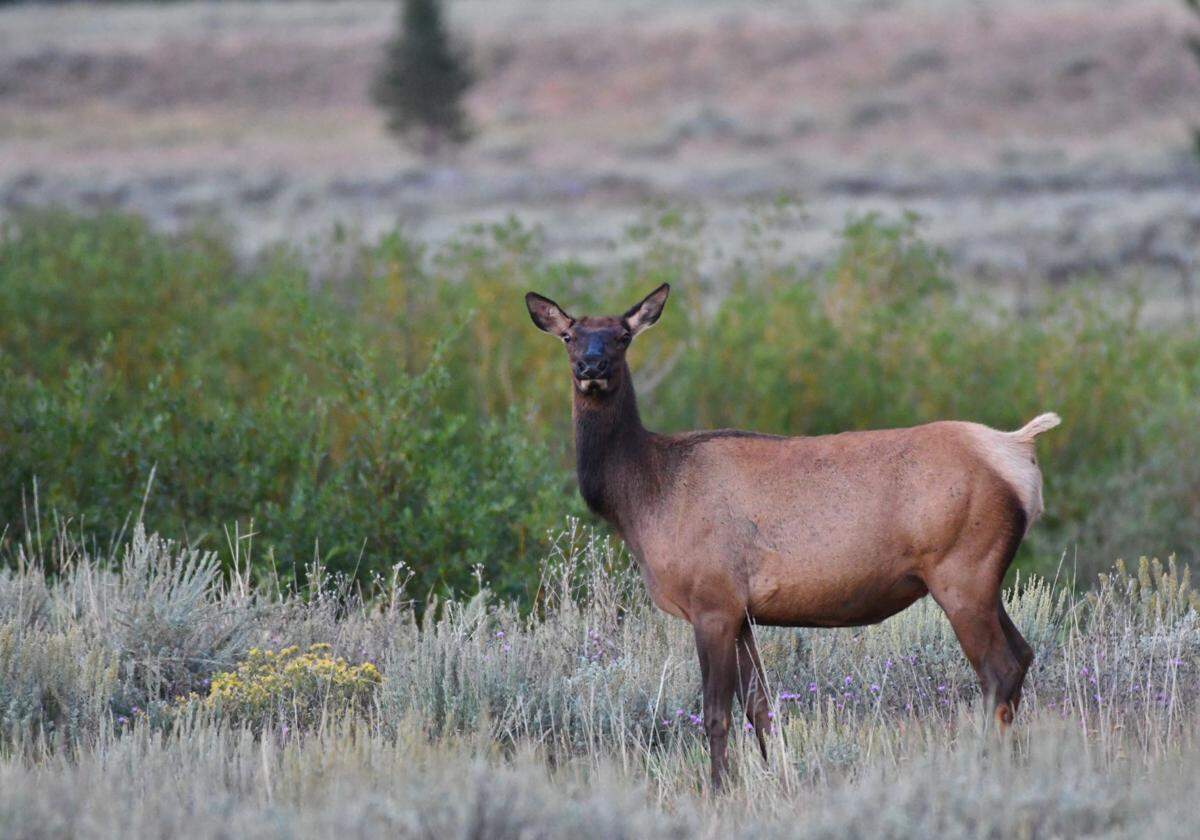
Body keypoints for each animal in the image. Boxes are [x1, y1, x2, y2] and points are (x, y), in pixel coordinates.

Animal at [525, 283, 1061, 788]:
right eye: (570, 336)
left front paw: (719, 789)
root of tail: (1017, 450)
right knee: (1023, 655)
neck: (643, 498)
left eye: (622, 335)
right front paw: (774, 775)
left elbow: (716, 714)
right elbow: (760, 709)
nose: (591, 365)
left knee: (998, 670)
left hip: (962, 569)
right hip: (983, 578)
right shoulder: (741, 612)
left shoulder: (712, 598)